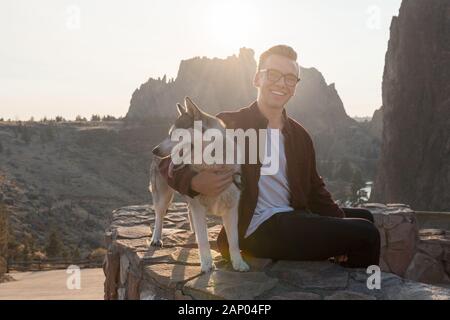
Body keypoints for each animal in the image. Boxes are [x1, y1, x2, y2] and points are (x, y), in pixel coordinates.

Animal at [150, 97, 250, 272]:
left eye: (176, 134)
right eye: (169, 133)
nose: (155, 150)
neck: (213, 165)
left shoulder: (231, 208)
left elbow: (234, 241)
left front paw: (238, 263)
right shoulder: (199, 207)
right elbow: (203, 240)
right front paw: (207, 264)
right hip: (164, 197)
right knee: (159, 216)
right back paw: (156, 238)